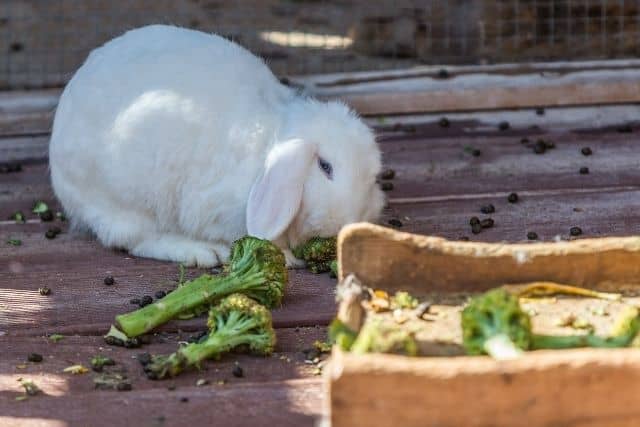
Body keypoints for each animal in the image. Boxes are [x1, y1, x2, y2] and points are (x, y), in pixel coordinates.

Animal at [49, 24, 385, 268]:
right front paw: (288, 258)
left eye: (372, 179)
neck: (268, 149)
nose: (348, 223)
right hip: (129, 200)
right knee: (135, 240)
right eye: (326, 167)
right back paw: (200, 253)